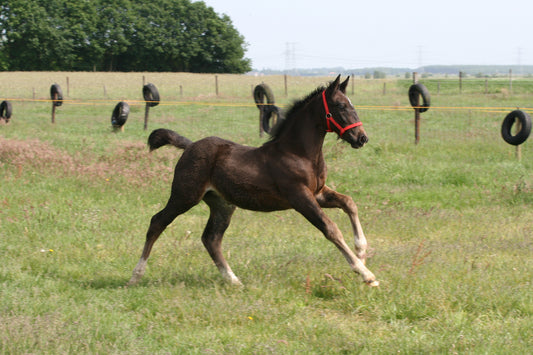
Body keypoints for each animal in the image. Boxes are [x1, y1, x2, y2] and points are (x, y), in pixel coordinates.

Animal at [127, 76, 378, 290]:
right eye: (340, 106)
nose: (362, 138)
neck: (299, 153)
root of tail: (189, 146)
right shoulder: (300, 197)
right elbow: (331, 228)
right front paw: (365, 273)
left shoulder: (318, 192)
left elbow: (349, 202)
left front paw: (362, 251)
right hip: (185, 196)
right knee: (157, 222)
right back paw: (135, 276)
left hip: (222, 204)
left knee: (211, 239)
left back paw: (233, 280)